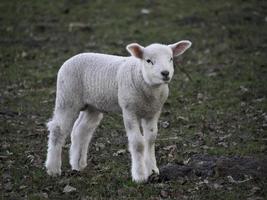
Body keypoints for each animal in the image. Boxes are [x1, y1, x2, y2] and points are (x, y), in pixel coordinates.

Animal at [46, 40, 193, 183]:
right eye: (148, 60)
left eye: (171, 59)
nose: (165, 73)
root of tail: (70, 59)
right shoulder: (129, 110)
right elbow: (138, 143)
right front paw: (140, 176)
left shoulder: (153, 112)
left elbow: (150, 139)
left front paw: (152, 170)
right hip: (67, 97)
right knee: (58, 129)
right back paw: (53, 169)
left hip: (92, 105)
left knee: (81, 130)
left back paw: (78, 164)